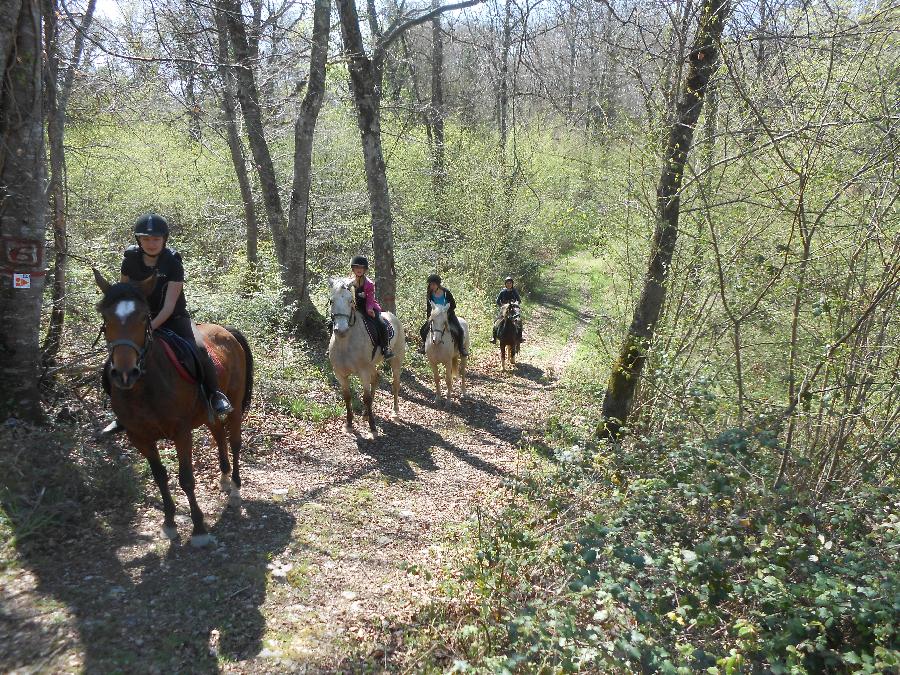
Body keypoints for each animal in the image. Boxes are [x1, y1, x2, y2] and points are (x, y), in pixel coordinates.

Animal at [93, 270, 253, 548]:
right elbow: (159, 477)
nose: (125, 373)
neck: (145, 389)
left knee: (234, 441)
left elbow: (186, 479)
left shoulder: (181, 433)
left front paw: (199, 529)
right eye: (106, 317)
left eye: (144, 317)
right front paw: (169, 523)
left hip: (234, 405)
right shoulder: (139, 437)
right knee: (218, 434)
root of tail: (226, 330)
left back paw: (234, 489)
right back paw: (223, 478)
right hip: (207, 413)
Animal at [326, 280, 404, 438]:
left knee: (395, 384)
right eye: (332, 301)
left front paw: (373, 428)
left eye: (350, 300)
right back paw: (366, 413)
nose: (341, 330)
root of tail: (393, 317)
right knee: (377, 377)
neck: (345, 343)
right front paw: (349, 425)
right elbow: (347, 396)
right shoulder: (340, 375)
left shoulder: (363, 372)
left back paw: (394, 413)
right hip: (371, 365)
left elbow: (366, 398)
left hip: (396, 360)